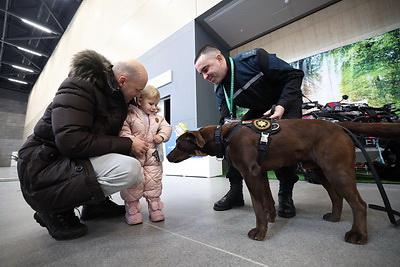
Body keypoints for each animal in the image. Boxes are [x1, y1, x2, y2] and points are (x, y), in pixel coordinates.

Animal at [167, 119, 400, 245]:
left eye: (178, 144)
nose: (167, 157)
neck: (223, 135)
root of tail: (339, 126)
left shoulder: (250, 173)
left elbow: (258, 207)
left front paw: (260, 233)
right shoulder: (260, 174)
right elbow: (267, 201)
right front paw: (271, 219)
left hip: (337, 171)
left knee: (359, 204)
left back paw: (358, 235)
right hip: (322, 171)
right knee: (336, 197)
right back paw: (334, 217)